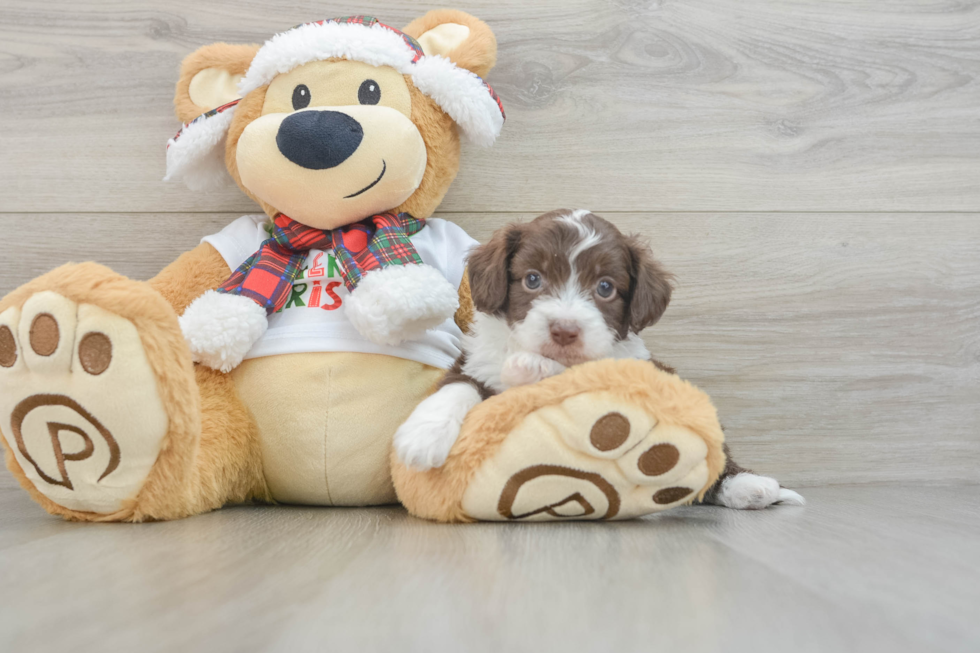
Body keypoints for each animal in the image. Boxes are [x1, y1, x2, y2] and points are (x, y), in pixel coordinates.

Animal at [394, 209, 808, 510]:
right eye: (532, 279)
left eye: (605, 287)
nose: (564, 330)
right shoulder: (477, 361)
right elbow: (457, 387)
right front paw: (422, 436)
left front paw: (534, 370)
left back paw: (749, 486)